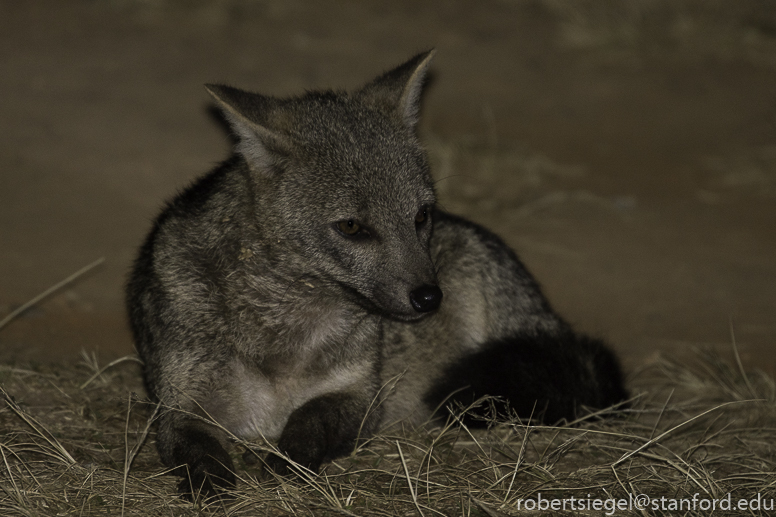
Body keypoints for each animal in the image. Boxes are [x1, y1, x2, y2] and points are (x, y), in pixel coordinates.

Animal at [126, 50, 624, 498]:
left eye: (420, 216)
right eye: (351, 227)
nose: (429, 297)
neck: (285, 337)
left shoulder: (360, 397)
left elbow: (309, 423)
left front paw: (286, 462)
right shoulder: (181, 406)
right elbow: (196, 449)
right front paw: (210, 481)